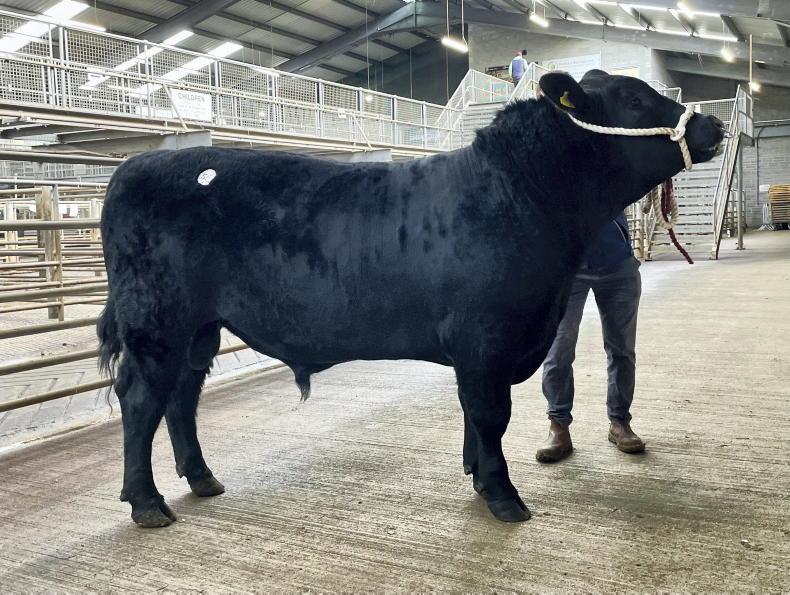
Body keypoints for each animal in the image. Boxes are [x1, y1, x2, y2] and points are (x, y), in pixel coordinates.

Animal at [97, 70, 725, 528]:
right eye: (635, 98)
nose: (713, 123)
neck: (518, 193)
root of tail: (134, 166)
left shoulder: (489, 346)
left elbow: (475, 416)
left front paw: (478, 478)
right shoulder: (486, 338)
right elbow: (491, 414)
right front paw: (504, 497)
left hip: (199, 326)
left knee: (181, 396)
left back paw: (202, 478)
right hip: (157, 321)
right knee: (142, 399)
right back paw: (147, 503)